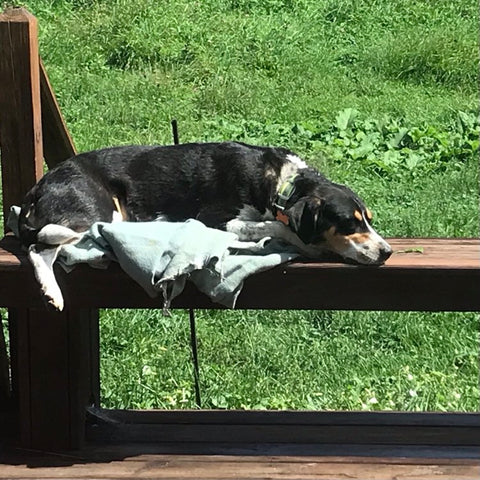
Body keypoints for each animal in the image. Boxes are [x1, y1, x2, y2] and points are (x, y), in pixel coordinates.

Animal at [17, 141, 394, 310]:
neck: (280, 184)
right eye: (348, 223)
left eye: (369, 220)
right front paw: (302, 242)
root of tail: (41, 185)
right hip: (96, 213)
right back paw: (52, 291)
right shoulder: (218, 220)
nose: (387, 252)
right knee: (41, 247)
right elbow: (279, 228)